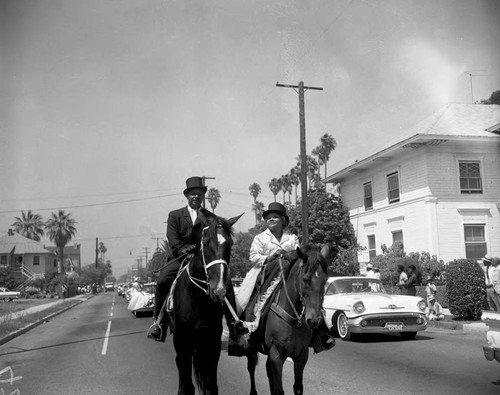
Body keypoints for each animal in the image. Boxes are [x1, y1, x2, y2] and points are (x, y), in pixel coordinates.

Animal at [168, 215, 242, 394]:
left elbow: (211, 386)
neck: (197, 298)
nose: (220, 289)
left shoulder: (212, 343)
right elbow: (186, 385)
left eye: (230, 244)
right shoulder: (183, 343)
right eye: (206, 243)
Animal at [245, 246, 332, 394]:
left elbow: (297, 388)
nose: (314, 320)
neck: (295, 320)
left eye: (325, 280)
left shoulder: (301, 356)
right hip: (252, 348)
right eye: (306, 279)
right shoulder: (277, 356)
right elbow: (279, 390)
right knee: (251, 368)